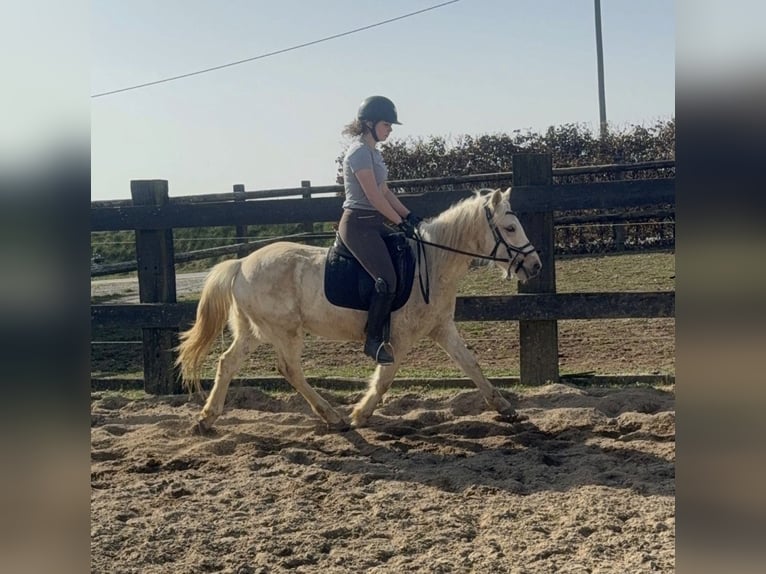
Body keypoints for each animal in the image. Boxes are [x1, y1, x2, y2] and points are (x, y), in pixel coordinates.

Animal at [176, 187, 542, 431]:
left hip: (253, 331)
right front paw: (360, 414)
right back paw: (334, 417)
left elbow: (471, 364)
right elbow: (384, 379)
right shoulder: (399, 338)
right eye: (510, 228)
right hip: (285, 331)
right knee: (290, 370)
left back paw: (207, 418)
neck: (433, 262)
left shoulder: (441, 327)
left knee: (227, 363)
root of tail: (240, 264)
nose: (535, 266)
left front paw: (506, 408)